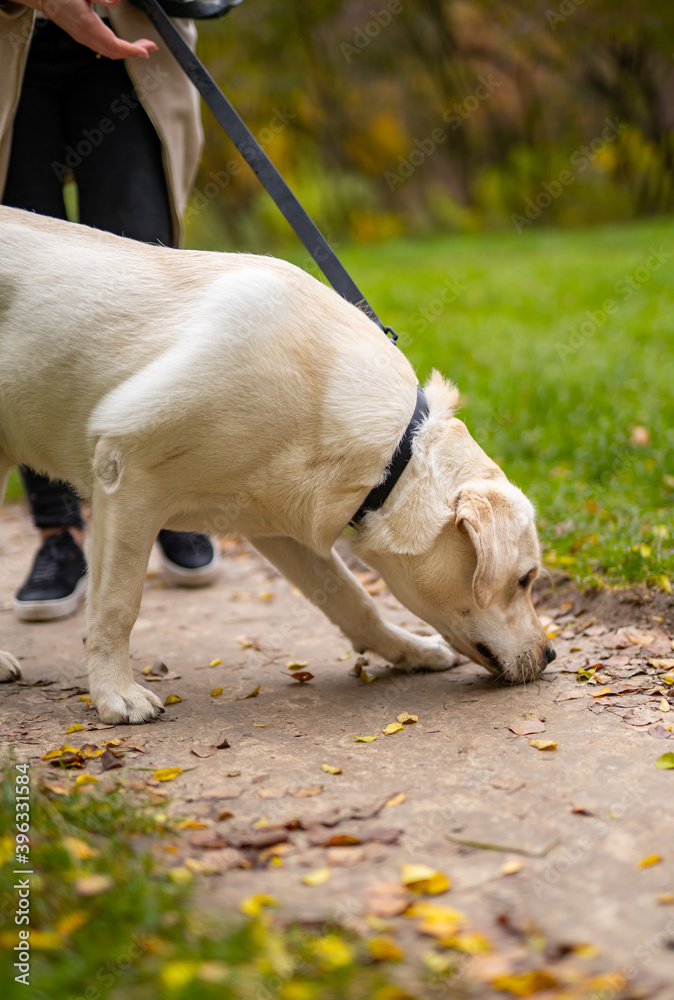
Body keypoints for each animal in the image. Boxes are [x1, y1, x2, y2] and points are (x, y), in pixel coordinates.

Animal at [0, 207, 552, 720]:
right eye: (525, 579)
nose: (550, 657)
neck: (391, 452)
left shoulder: (280, 526)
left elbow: (354, 600)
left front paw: (408, 650)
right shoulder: (126, 473)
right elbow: (117, 605)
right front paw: (115, 694)